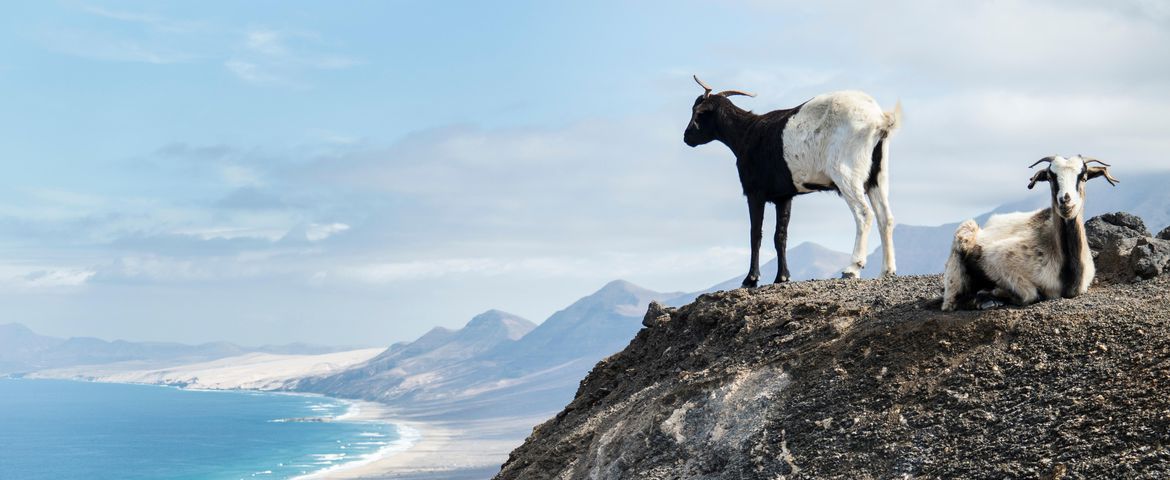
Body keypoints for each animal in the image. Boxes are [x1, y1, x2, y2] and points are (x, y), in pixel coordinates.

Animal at [683, 74, 898, 284]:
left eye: (698, 112)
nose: (687, 137)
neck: (747, 133)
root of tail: (880, 120)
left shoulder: (754, 192)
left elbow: (756, 233)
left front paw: (751, 278)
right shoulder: (784, 196)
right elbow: (780, 236)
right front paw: (782, 277)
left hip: (846, 172)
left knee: (864, 214)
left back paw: (852, 268)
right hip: (877, 176)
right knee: (885, 218)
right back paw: (887, 271)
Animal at [935, 154, 1118, 311]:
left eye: (1084, 177)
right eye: (1050, 177)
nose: (1066, 201)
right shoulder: (999, 259)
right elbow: (1030, 295)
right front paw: (993, 293)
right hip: (962, 242)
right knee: (952, 299)